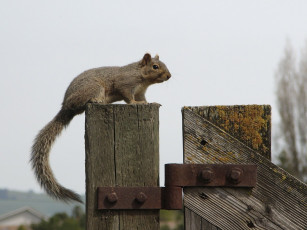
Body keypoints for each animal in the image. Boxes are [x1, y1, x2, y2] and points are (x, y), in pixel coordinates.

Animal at [30, 53, 171, 202]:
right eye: (155, 66)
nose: (169, 76)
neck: (141, 77)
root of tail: (65, 106)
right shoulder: (125, 84)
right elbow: (128, 97)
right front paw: (135, 103)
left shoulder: (140, 92)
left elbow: (143, 99)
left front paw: (150, 102)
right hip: (94, 88)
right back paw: (97, 100)